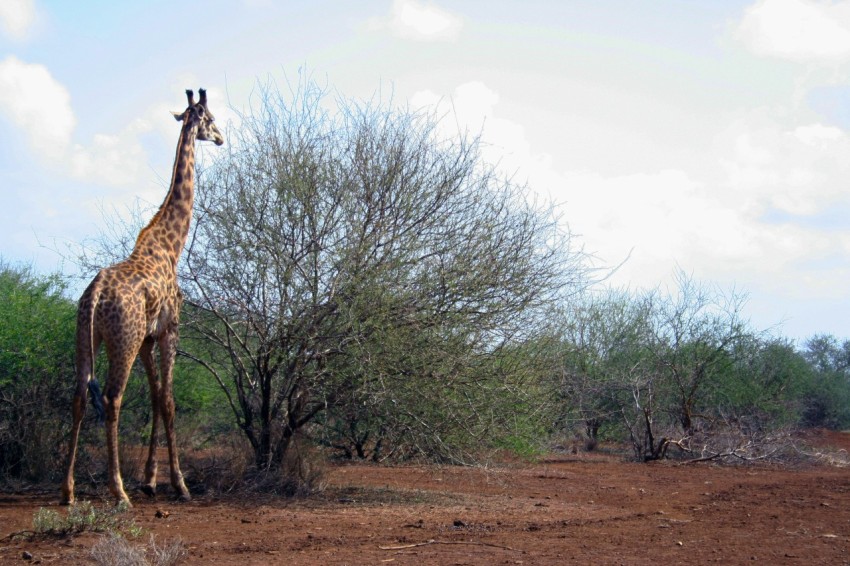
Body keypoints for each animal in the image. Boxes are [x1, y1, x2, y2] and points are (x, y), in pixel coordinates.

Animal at [61, 90, 224, 510]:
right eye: (210, 118)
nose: (221, 138)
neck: (170, 245)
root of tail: (95, 296)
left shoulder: (149, 338)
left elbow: (154, 396)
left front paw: (150, 479)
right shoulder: (169, 330)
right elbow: (168, 399)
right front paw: (179, 484)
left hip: (87, 337)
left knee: (79, 395)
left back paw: (67, 490)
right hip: (124, 339)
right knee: (112, 398)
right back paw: (118, 491)